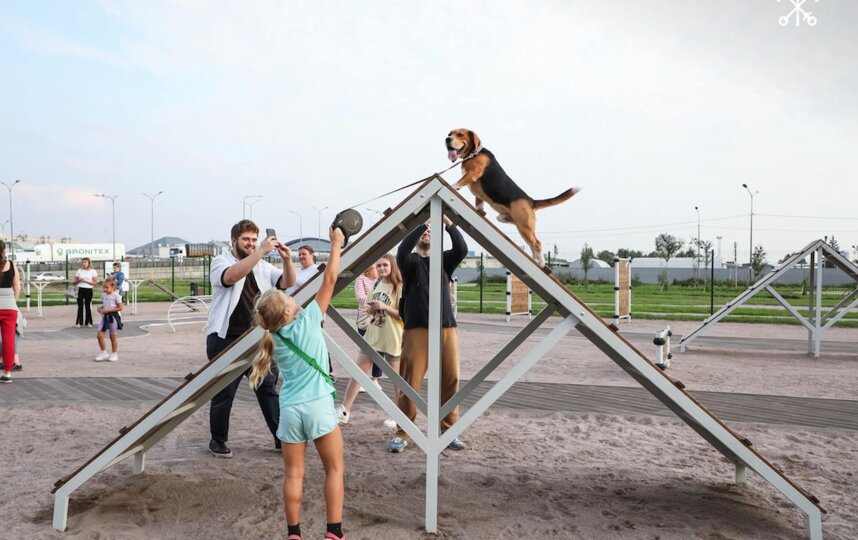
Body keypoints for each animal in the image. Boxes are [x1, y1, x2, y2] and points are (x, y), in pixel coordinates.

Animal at [444, 129, 580, 268]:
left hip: (525, 226)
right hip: (519, 225)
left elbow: (460, 181)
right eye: (450, 133)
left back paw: (541, 263)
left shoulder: (474, 173)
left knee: (537, 244)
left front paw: (453, 186)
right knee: (531, 244)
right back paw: (535, 259)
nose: (447, 139)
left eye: (460, 135)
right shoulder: (478, 195)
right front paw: (479, 211)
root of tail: (531, 200)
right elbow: (479, 204)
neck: (474, 153)